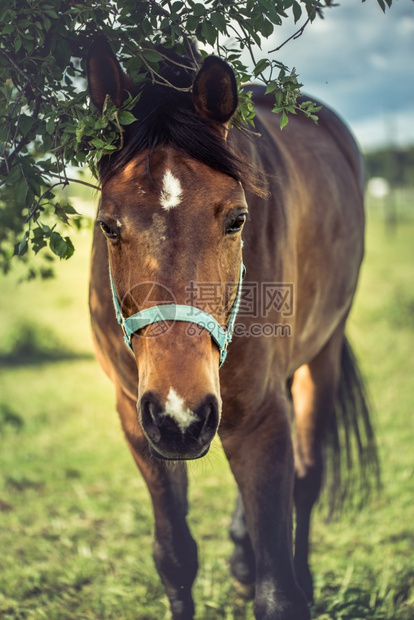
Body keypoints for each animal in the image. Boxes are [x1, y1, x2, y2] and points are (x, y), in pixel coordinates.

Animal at [86, 36, 378, 616]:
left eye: (237, 219)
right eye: (107, 225)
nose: (180, 414)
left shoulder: (263, 417)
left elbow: (279, 590)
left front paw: (286, 581)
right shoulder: (138, 421)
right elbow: (175, 558)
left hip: (324, 353)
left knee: (306, 480)